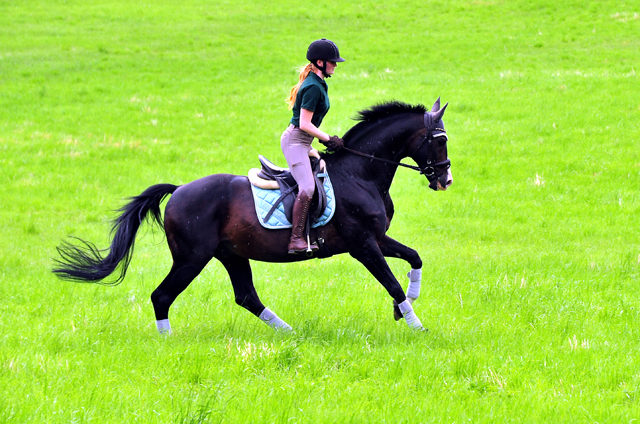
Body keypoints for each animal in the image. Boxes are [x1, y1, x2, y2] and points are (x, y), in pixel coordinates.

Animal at [55, 97, 452, 332]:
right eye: (441, 140)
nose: (445, 180)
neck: (361, 172)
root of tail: (179, 190)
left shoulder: (377, 238)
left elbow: (413, 258)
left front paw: (405, 307)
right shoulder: (363, 244)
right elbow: (391, 281)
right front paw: (415, 323)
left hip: (231, 254)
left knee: (246, 296)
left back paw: (289, 333)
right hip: (192, 257)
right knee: (162, 296)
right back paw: (166, 342)